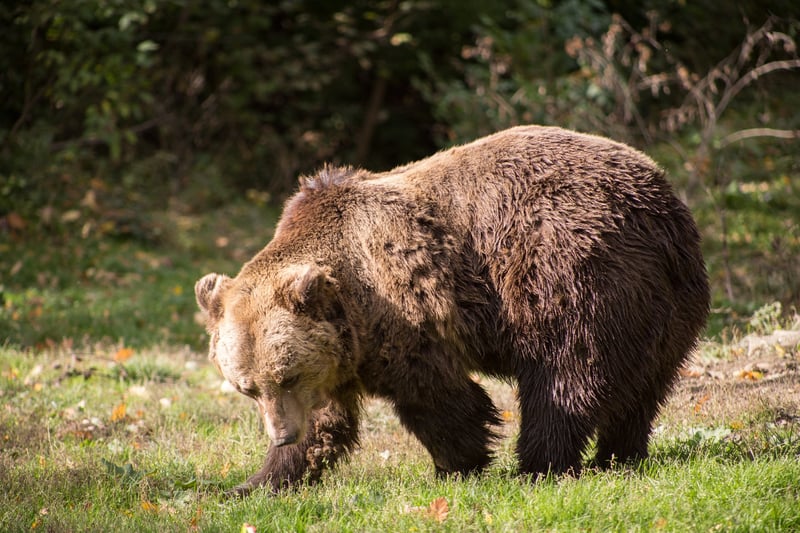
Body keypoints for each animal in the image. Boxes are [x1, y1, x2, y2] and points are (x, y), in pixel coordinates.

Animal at [197, 124, 708, 494]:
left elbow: (435, 396)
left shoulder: (400, 314)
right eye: (247, 387)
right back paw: (618, 457)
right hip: (663, 308)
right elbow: (326, 419)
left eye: (287, 375)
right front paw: (256, 481)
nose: (280, 433)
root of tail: (664, 203)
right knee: (642, 388)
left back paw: (539, 466)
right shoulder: (340, 349)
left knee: (565, 378)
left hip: (576, 274)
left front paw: (456, 465)